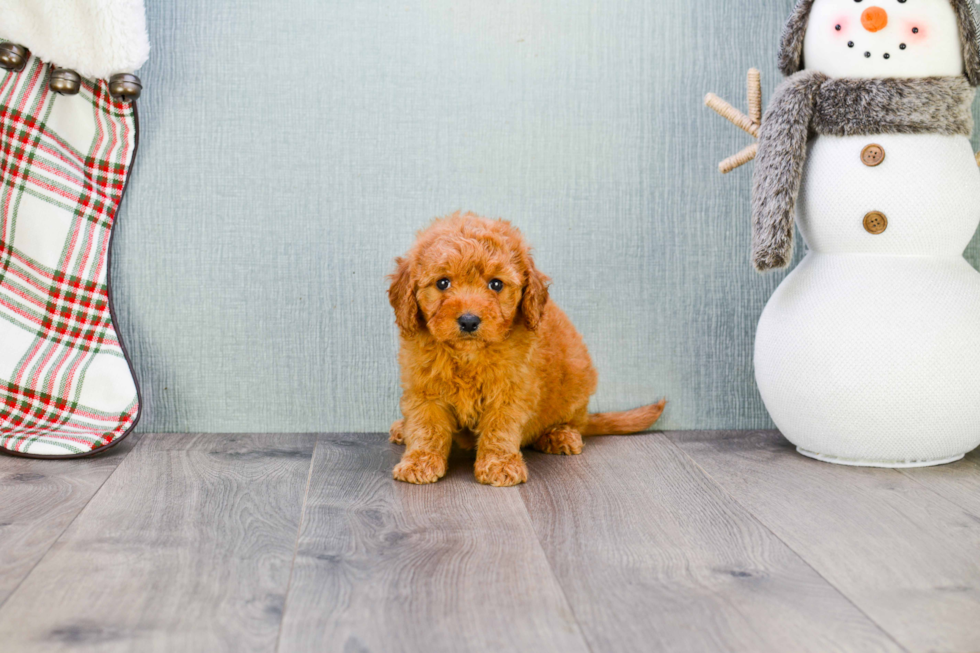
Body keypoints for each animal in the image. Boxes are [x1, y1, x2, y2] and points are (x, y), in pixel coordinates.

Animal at [388, 214, 668, 484]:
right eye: (443, 283)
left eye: (496, 285)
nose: (468, 320)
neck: (468, 354)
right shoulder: (424, 390)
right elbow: (427, 427)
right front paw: (420, 461)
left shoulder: (510, 391)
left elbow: (500, 428)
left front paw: (500, 464)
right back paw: (402, 428)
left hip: (576, 384)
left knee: (572, 421)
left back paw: (560, 435)